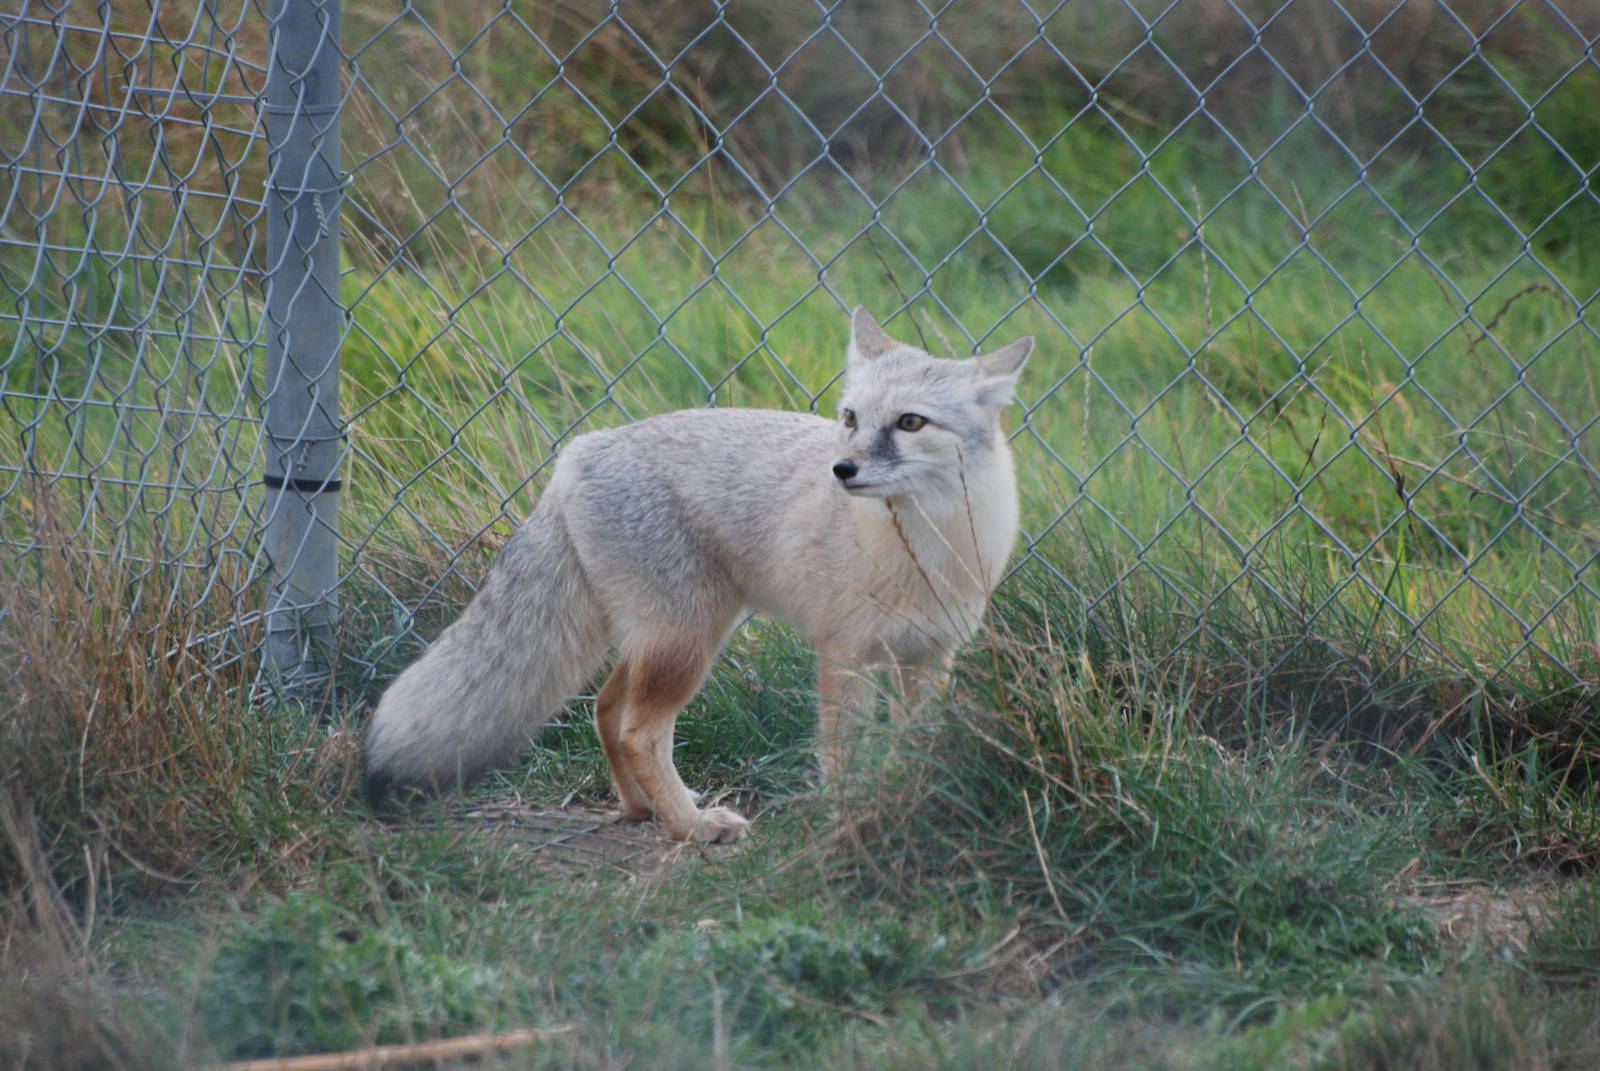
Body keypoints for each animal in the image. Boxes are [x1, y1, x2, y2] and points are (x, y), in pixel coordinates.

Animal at [364, 306, 1032, 843]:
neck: (925, 552)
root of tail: (581, 450)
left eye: (910, 423)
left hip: (672, 637)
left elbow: (912, 749)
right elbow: (845, 760)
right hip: (688, 642)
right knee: (638, 730)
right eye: (850, 417)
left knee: (607, 708)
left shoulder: (928, 657)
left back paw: (643, 809)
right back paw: (689, 825)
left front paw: (906, 806)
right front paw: (853, 825)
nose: (841, 469)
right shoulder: (844, 656)